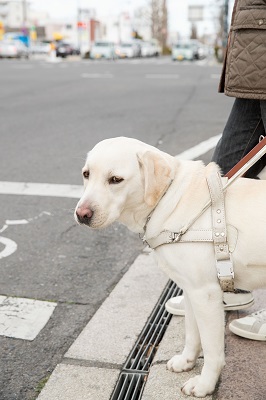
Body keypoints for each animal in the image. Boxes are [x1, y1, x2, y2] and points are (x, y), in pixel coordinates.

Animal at [74, 137, 266, 396]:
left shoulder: (206, 294)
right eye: (86, 174)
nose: (81, 214)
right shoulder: (192, 290)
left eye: (115, 179)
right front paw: (187, 361)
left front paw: (204, 384)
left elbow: (212, 349)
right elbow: (192, 333)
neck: (168, 200)